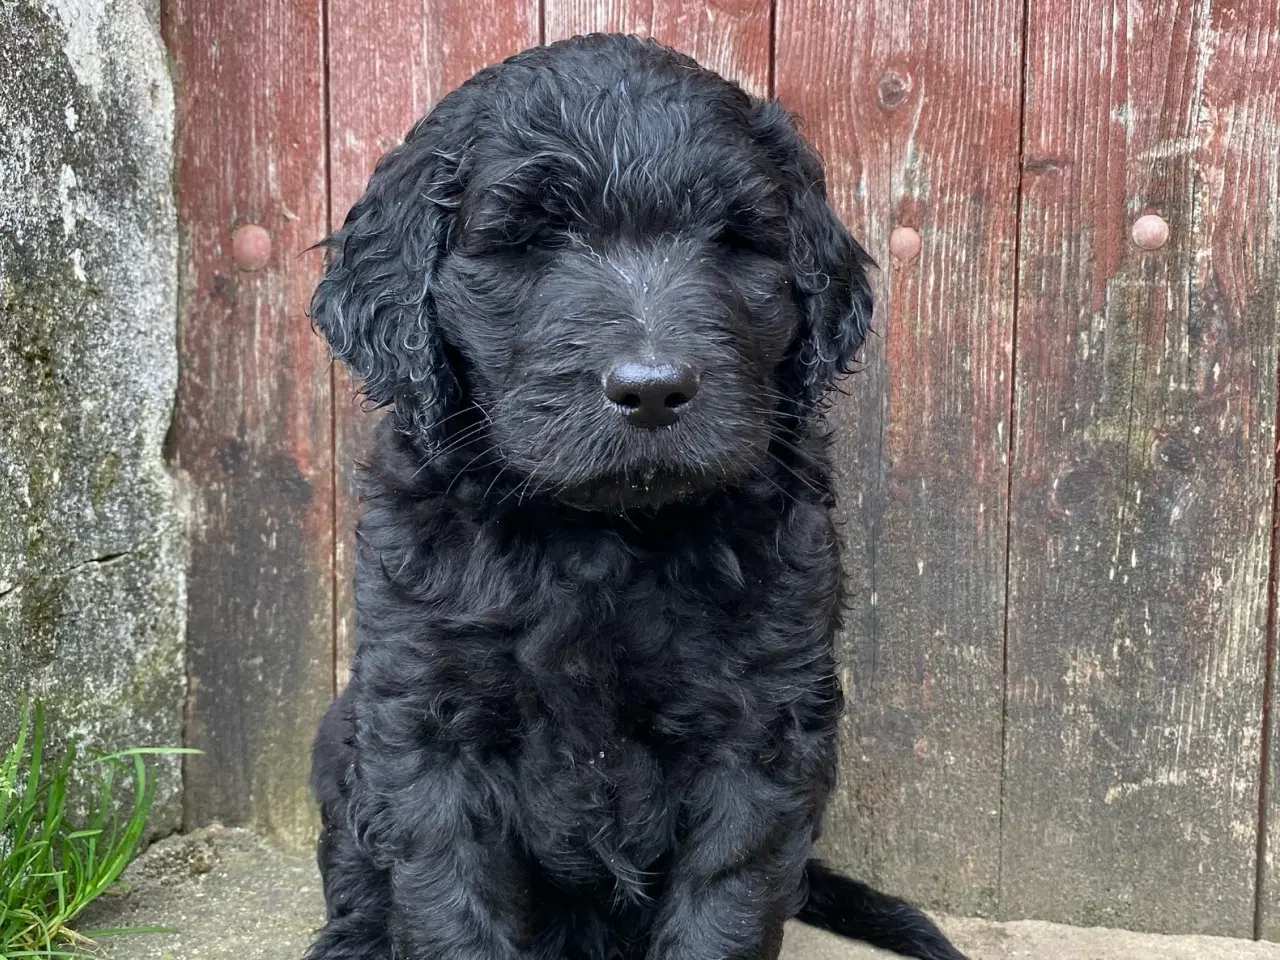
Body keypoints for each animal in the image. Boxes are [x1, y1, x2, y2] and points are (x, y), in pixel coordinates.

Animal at [309, 33, 962, 960]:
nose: (652, 388)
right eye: (529, 241)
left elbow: (728, 897)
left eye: (732, 241)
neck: (602, 535)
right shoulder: (428, 713)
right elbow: (447, 897)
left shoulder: (762, 722)